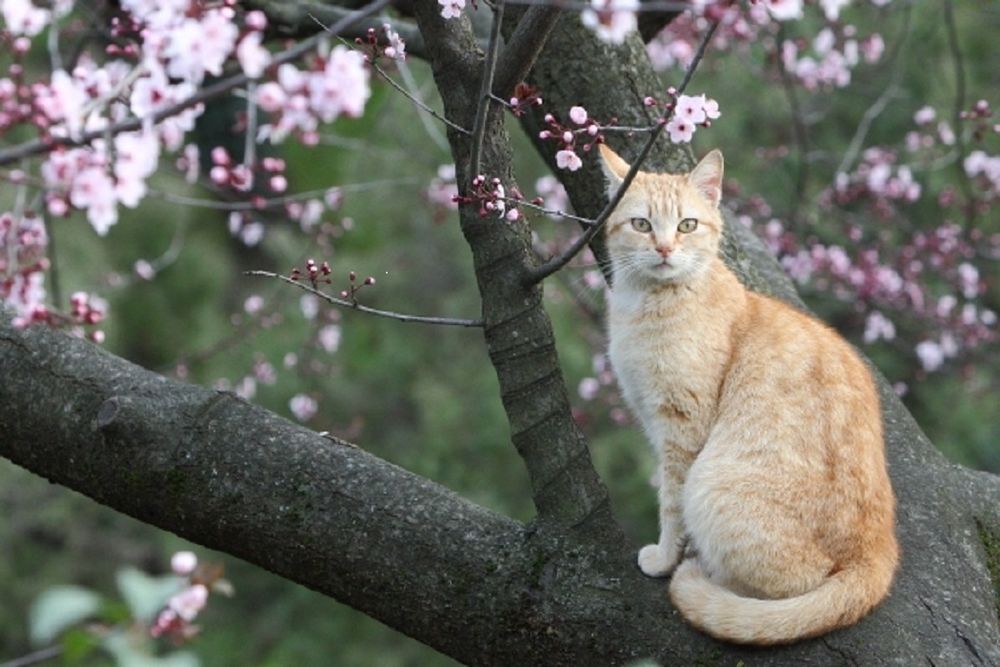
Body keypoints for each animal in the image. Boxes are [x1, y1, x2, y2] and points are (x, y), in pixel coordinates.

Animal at [596, 142, 896, 648]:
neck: (645, 305)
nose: (664, 248)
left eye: (687, 225)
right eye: (641, 224)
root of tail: (878, 553)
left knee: (794, 585)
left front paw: (664, 556)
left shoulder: (682, 427)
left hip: (711, 484)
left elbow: (670, 502)